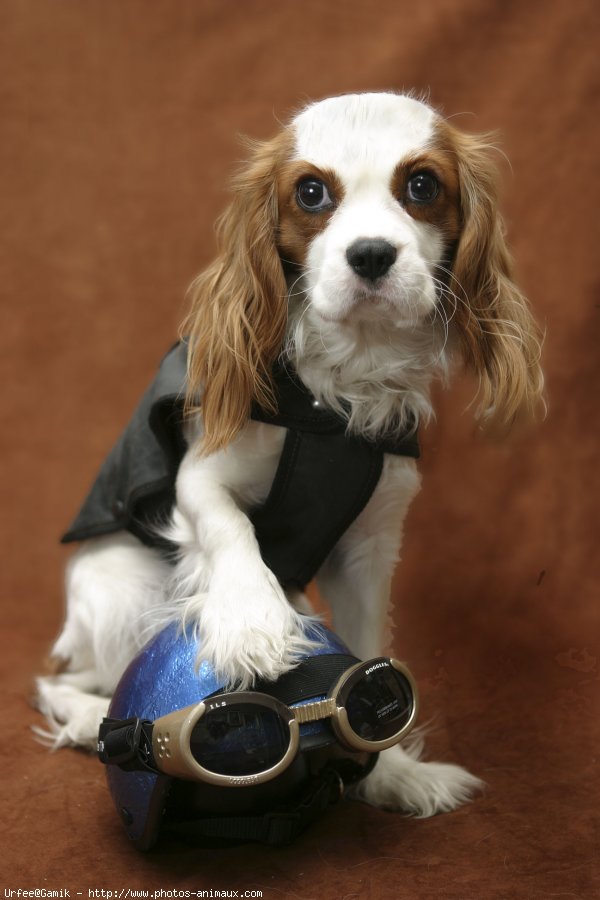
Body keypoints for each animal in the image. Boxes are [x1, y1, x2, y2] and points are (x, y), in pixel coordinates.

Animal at [36, 93, 544, 816]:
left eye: (423, 186)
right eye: (310, 192)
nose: (370, 254)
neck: (339, 389)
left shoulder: (370, 548)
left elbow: (367, 649)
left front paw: (389, 771)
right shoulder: (200, 477)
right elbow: (231, 530)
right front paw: (254, 623)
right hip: (126, 593)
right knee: (70, 680)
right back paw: (85, 719)